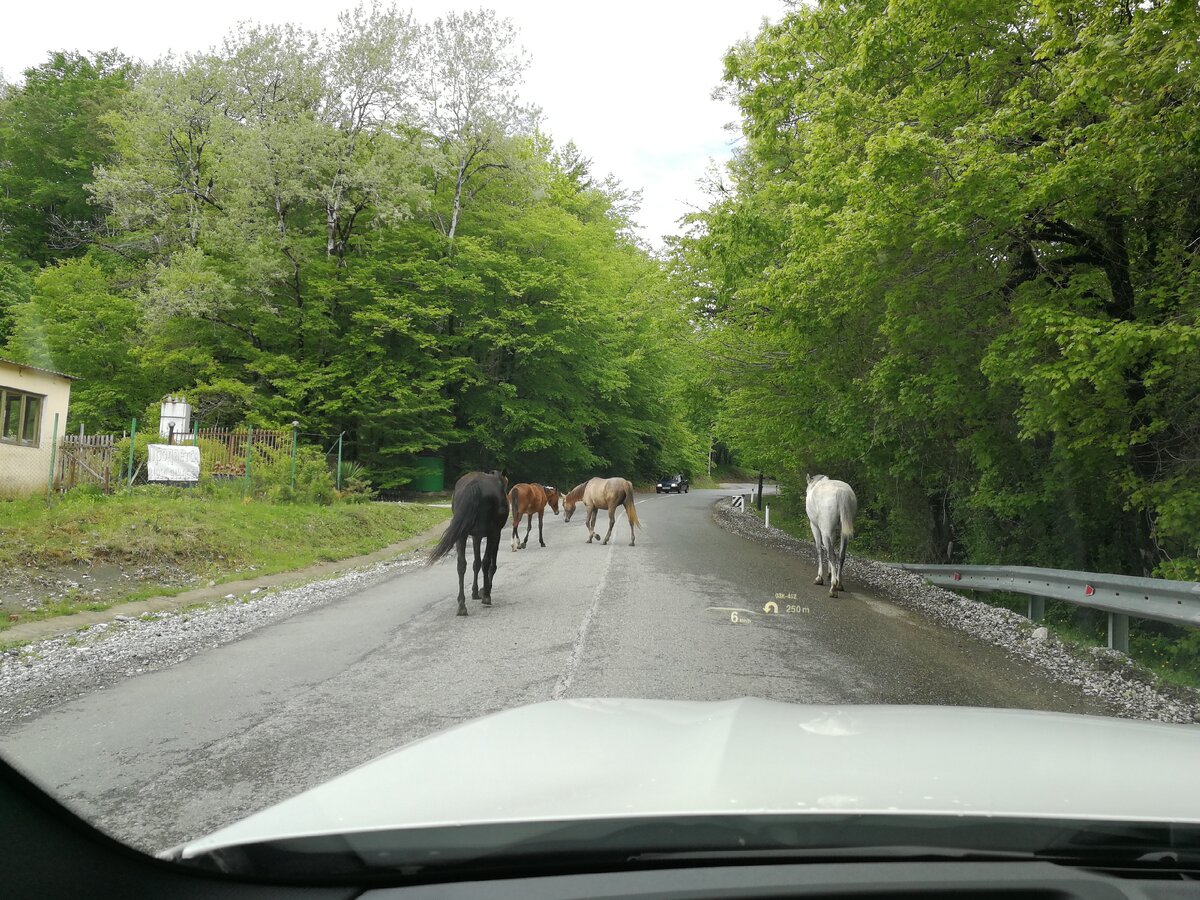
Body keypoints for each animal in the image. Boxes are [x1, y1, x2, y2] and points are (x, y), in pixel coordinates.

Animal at [429, 472, 508, 614]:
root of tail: (473, 485)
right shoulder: (495, 533)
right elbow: (489, 564)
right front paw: (485, 591)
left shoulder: (476, 536)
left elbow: (476, 563)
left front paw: (475, 592)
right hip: (490, 532)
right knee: (485, 562)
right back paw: (485, 596)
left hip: (462, 534)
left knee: (461, 564)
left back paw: (461, 605)